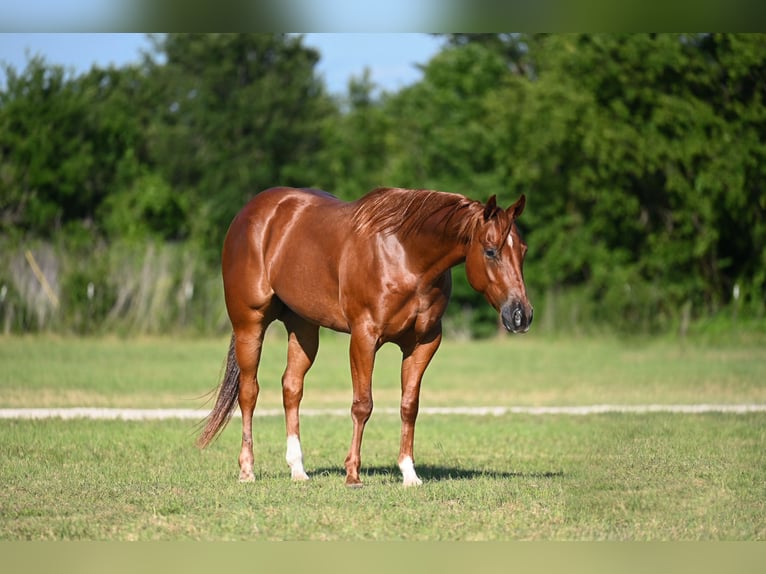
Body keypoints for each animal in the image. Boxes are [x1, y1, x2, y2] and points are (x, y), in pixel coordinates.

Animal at [197, 186, 533, 487]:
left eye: (523, 251)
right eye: (490, 251)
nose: (521, 315)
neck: (406, 255)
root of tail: (250, 212)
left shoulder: (424, 343)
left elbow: (409, 406)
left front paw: (409, 473)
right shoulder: (364, 337)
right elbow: (363, 405)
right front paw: (353, 474)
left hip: (303, 327)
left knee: (291, 388)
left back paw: (298, 469)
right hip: (249, 324)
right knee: (249, 392)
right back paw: (247, 470)